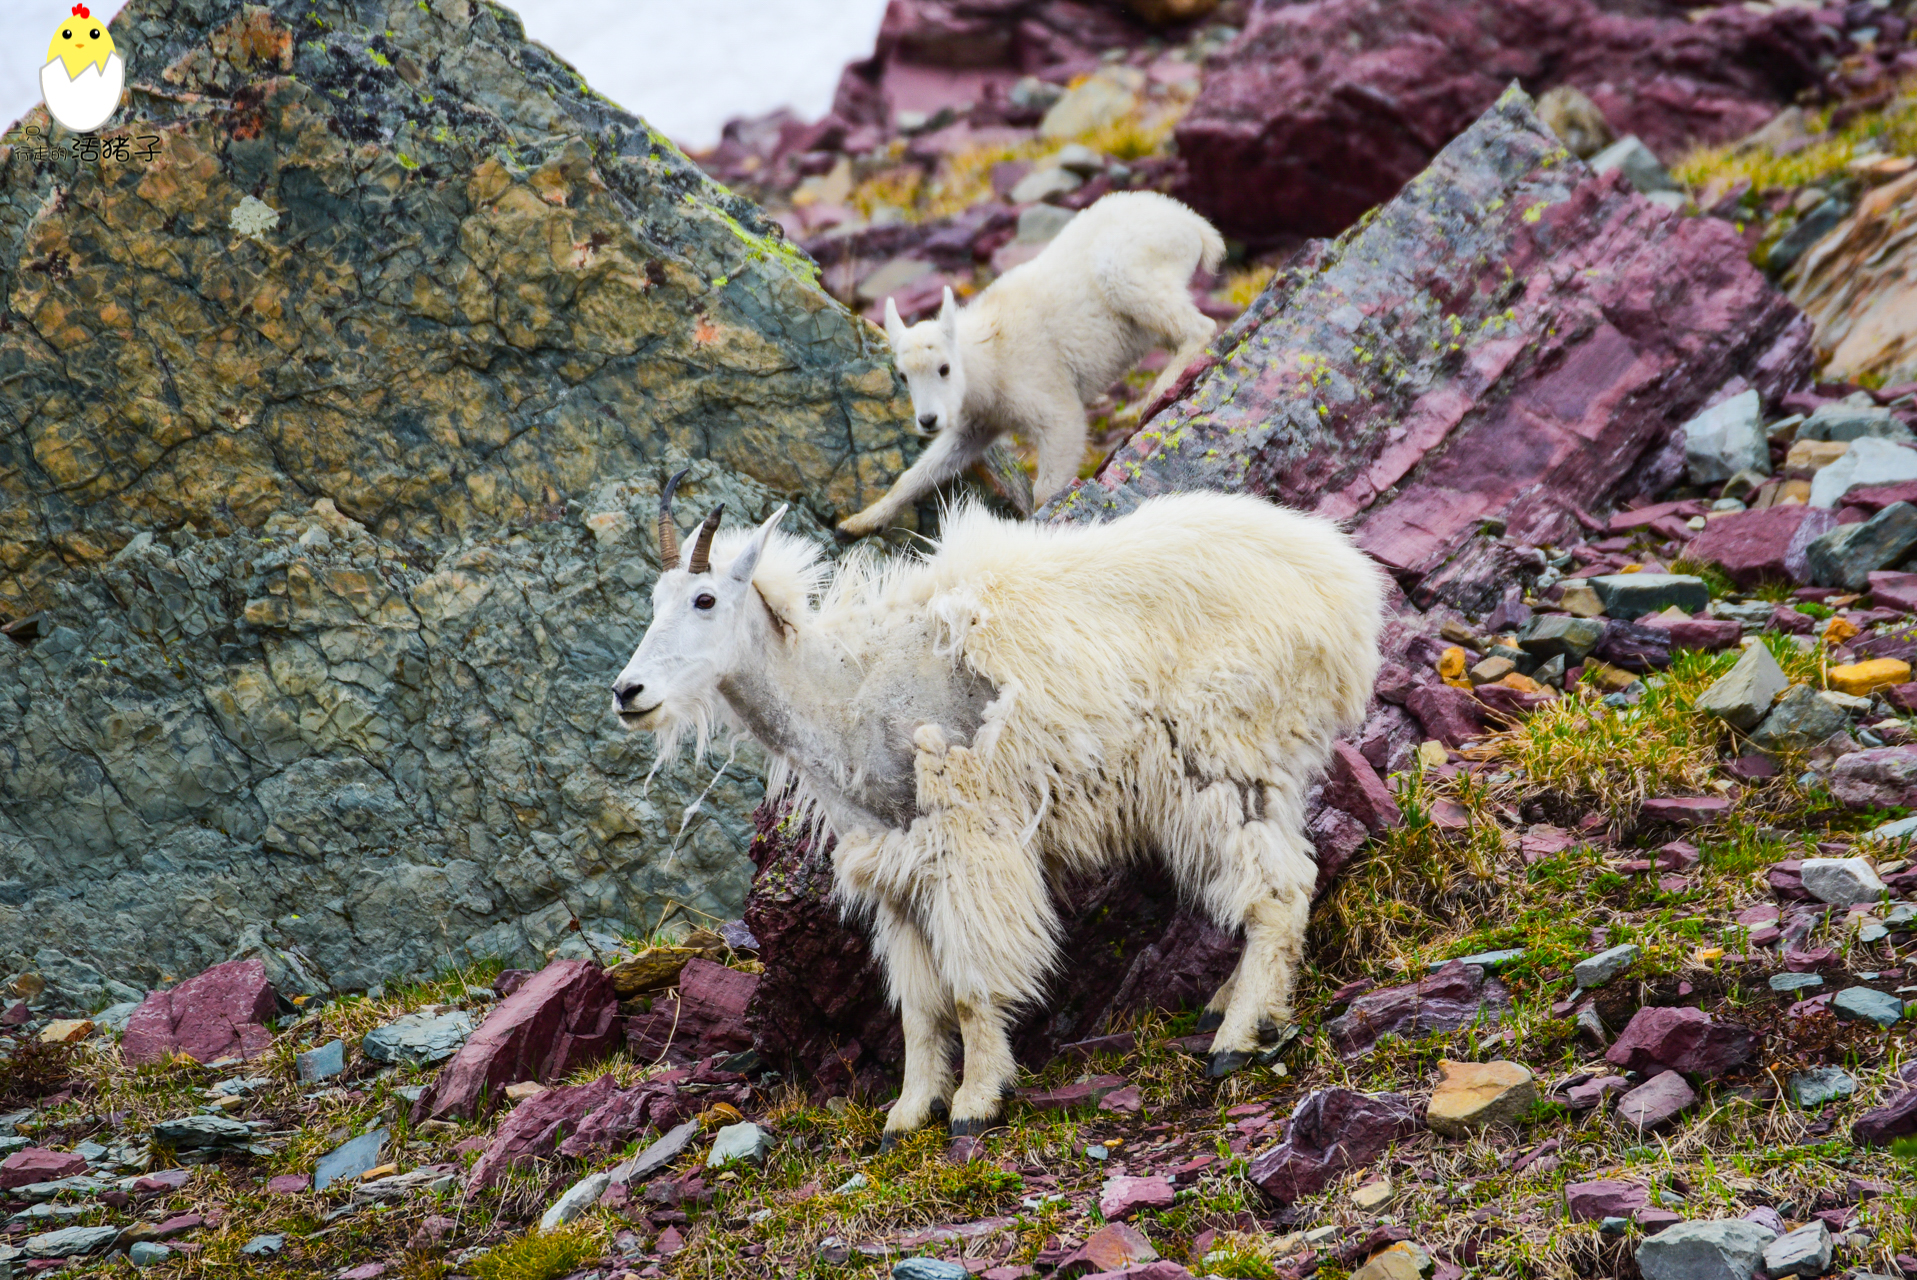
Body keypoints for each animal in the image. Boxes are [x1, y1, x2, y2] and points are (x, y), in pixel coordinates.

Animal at [621, 473, 1387, 1142]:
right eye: (651, 601)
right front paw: (907, 1114)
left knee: (1278, 889)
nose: (627, 692)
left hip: (1225, 760)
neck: (846, 697)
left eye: (704, 600)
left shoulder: (969, 843)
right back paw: (1233, 1004)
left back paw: (1236, 1037)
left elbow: (969, 987)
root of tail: (1344, 588)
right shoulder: (896, 870)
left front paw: (975, 1102)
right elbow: (918, 1008)